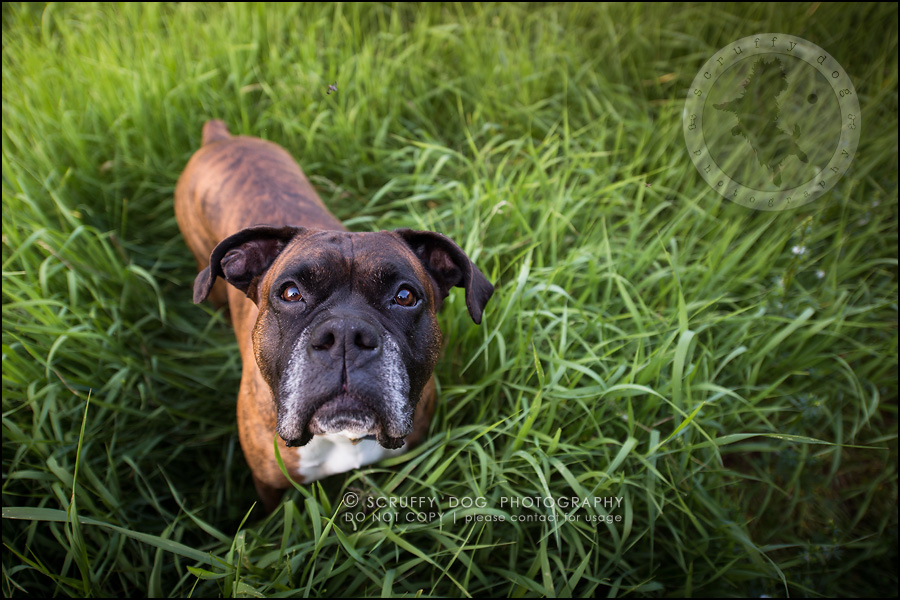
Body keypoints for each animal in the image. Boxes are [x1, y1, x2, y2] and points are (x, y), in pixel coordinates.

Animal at [175, 120, 492, 510]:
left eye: (405, 296)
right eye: (291, 293)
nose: (344, 335)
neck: (343, 438)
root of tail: (220, 138)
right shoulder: (269, 488)